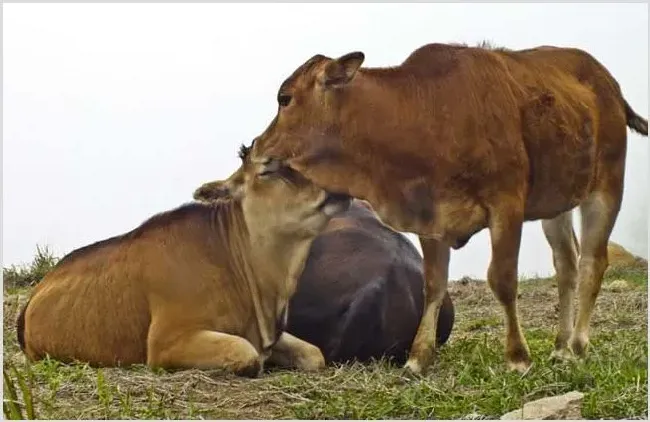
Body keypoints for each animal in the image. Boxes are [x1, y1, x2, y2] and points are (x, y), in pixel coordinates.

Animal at [16, 145, 350, 376]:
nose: (337, 188)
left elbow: (315, 354)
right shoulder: (166, 342)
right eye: (267, 171)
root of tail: (33, 298)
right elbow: (247, 355)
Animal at [242, 41, 644, 374]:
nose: (255, 147)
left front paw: (517, 357)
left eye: (285, 98)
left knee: (592, 263)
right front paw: (418, 359)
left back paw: (577, 344)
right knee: (566, 266)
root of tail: (608, 83)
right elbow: (433, 285)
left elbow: (502, 279)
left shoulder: (506, 205)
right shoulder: (431, 216)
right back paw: (560, 347)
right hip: (556, 204)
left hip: (606, 188)